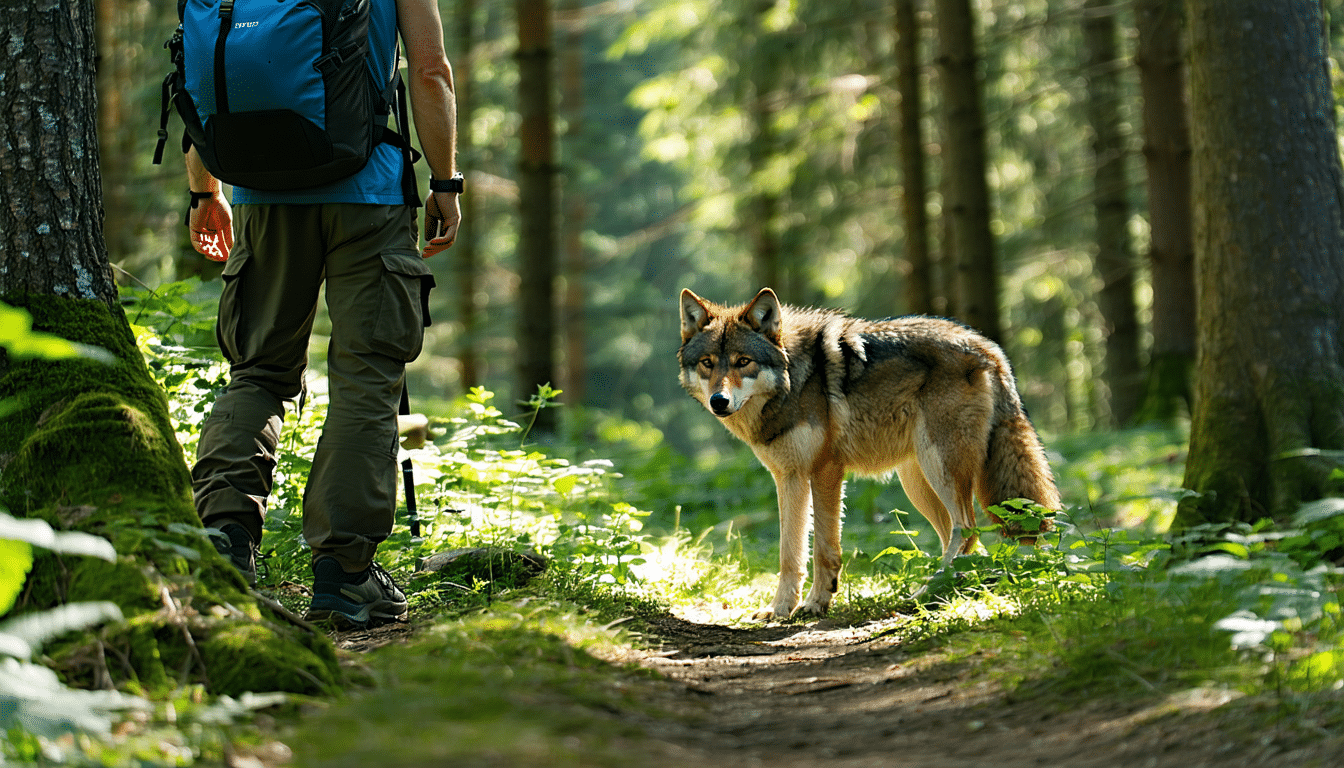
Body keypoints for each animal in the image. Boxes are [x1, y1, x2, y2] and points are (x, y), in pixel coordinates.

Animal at [679, 288, 1060, 619]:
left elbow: (823, 549)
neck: (793, 382)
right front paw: (780, 610)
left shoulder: (826, 470)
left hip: (941, 470)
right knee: (962, 538)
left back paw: (927, 594)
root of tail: (991, 349)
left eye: (743, 361)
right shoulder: (789, 478)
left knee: (966, 530)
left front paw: (815, 604)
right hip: (918, 482)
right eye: (708, 363)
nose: (719, 401)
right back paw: (945, 592)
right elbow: (790, 554)